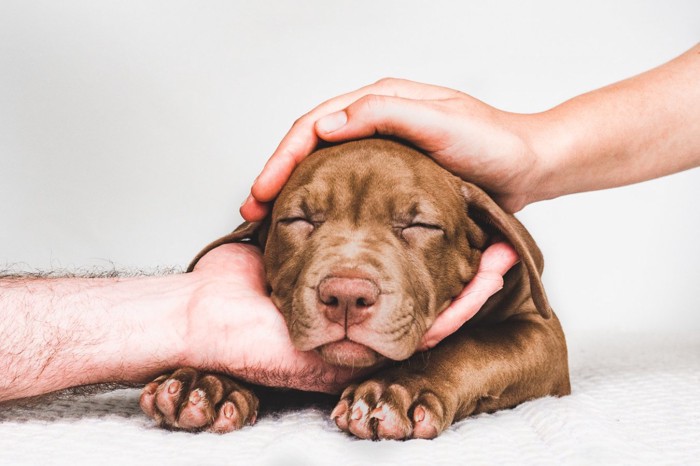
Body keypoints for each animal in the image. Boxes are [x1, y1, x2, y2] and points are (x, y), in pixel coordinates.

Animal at [138, 138, 568, 440]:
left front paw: (399, 389)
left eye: (419, 225)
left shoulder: (540, 331)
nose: (346, 296)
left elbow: (473, 346)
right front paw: (206, 382)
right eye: (298, 219)